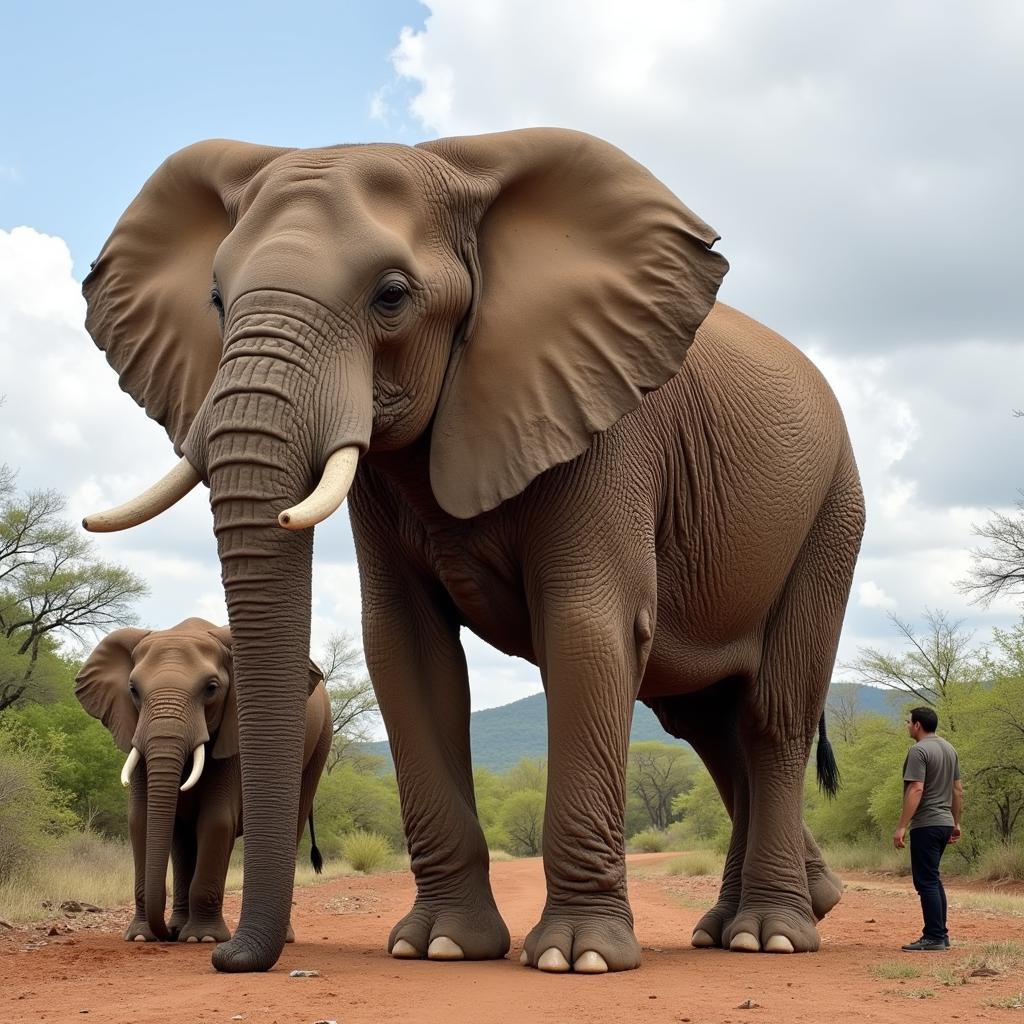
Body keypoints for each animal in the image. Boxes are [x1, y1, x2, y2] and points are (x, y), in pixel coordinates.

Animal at [76, 614, 331, 942]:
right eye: (133, 689)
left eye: (211, 688)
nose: (166, 936)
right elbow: (140, 820)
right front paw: (142, 936)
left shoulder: (233, 734)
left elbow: (216, 820)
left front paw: (203, 938)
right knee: (182, 842)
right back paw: (178, 927)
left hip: (321, 741)